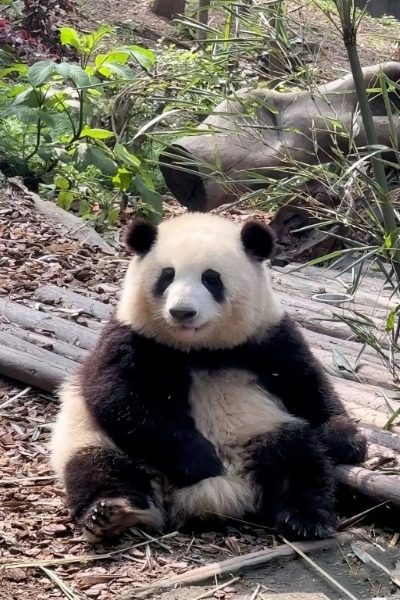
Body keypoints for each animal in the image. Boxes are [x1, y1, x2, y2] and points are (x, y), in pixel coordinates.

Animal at [49, 212, 366, 544]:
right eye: (167, 276)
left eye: (211, 278)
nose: (182, 312)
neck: (198, 349)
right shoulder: (131, 336)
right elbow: (117, 395)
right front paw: (201, 460)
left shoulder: (266, 336)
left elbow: (305, 383)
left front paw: (346, 440)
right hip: (96, 437)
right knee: (97, 465)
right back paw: (112, 512)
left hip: (262, 429)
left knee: (298, 458)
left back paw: (306, 518)